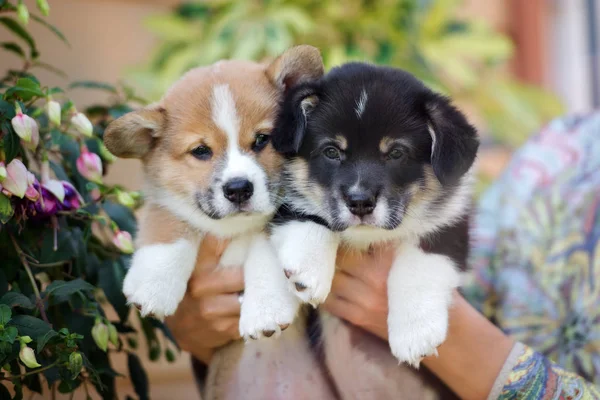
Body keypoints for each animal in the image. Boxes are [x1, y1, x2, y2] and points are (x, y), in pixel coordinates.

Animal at [105, 45, 326, 340]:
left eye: (262, 139)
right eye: (201, 150)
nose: (238, 189)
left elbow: (267, 253)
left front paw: (266, 308)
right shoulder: (164, 200)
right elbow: (169, 226)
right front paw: (154, 285)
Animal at [270, 62, 480, 366]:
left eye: (396, 153)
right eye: (331, 151)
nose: (359, 203)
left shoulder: (449, 223)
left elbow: (420, 266)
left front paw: (415, 333)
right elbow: (310, 213)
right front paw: (308, 268)